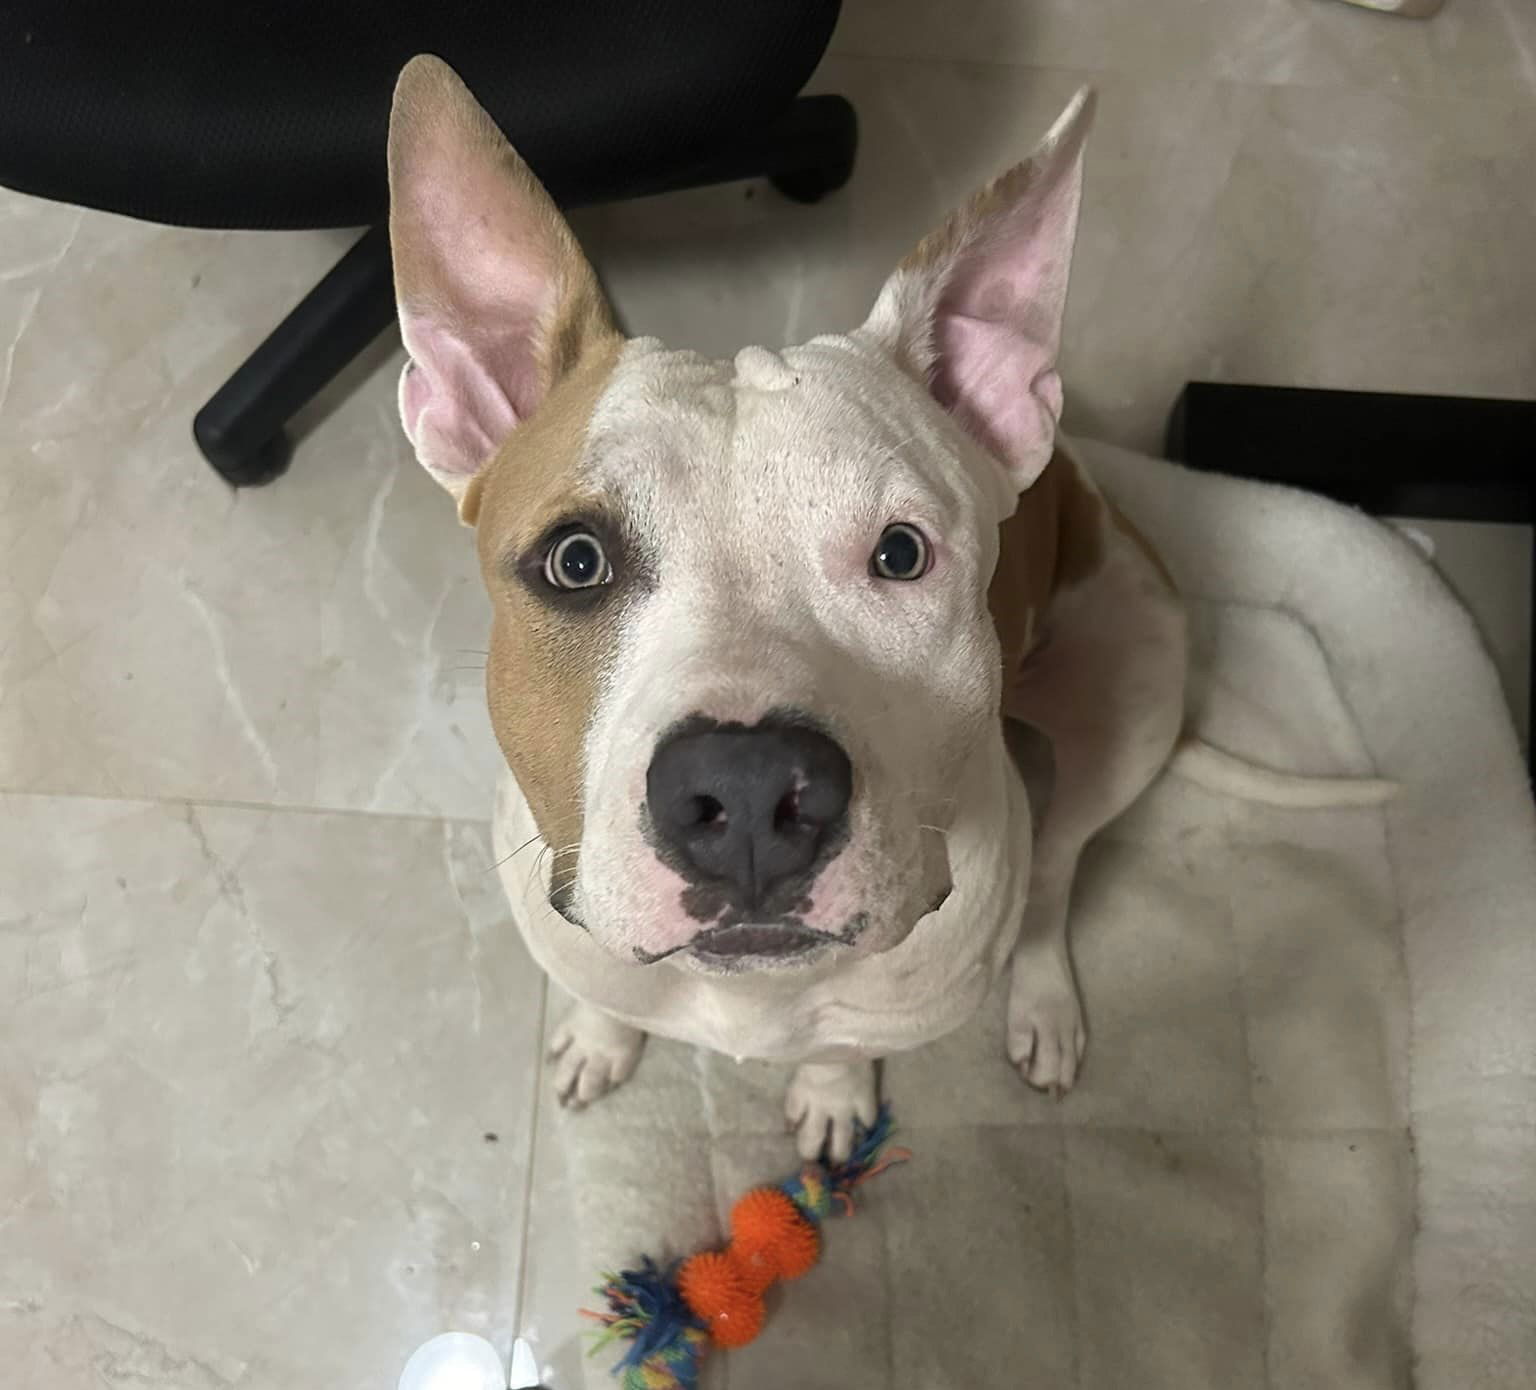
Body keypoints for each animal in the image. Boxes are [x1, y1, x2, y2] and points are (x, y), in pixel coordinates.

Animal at [387, 56, 1394, 1161]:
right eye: (576, 561)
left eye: (901, 554)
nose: (747, 790)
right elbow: (607, 990)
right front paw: (601, 1039)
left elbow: (845, 1042)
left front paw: (833, 1095)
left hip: (1130, 699)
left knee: (1058, 868)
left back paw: (1043, 1003)